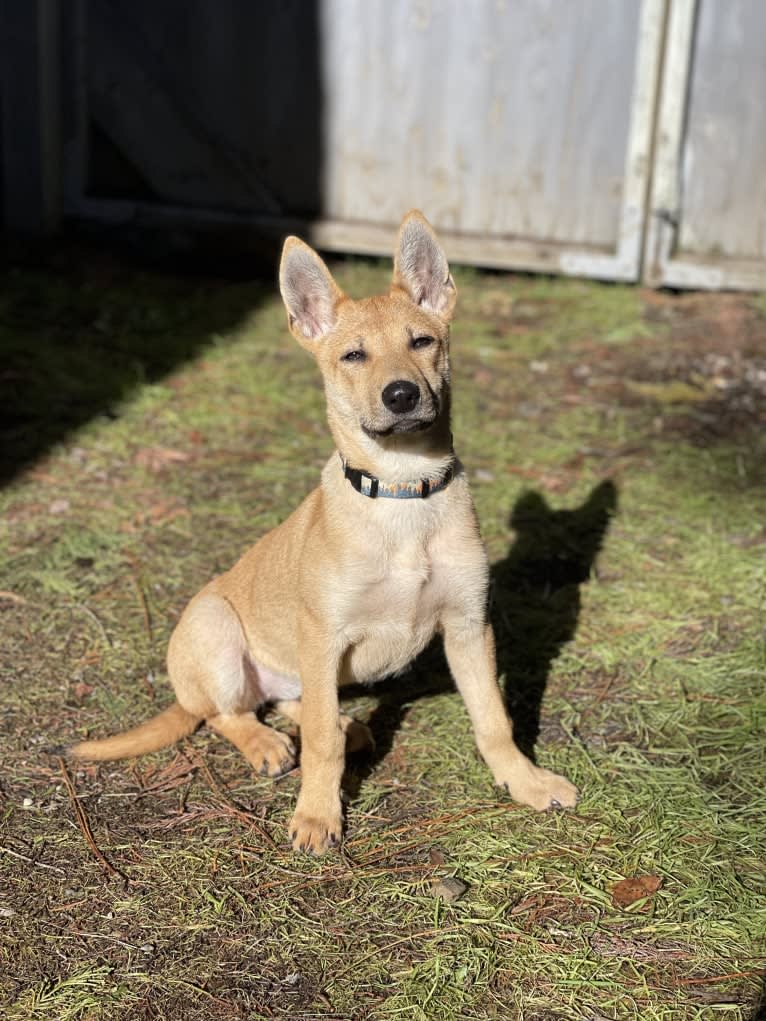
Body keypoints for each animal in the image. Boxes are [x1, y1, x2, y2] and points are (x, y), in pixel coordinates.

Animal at [70, 213, 576, 853]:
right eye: (353, 355)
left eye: (422, 341)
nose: (402, 394)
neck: (402, 492)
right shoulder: (323, 634)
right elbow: (320, 746)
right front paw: (317, 815)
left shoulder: (468, 626)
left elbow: (494, 718)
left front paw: (524, 781)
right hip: (216, 626)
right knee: (229, 713)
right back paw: (268, 742)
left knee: (294, 701)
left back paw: (343, 722)